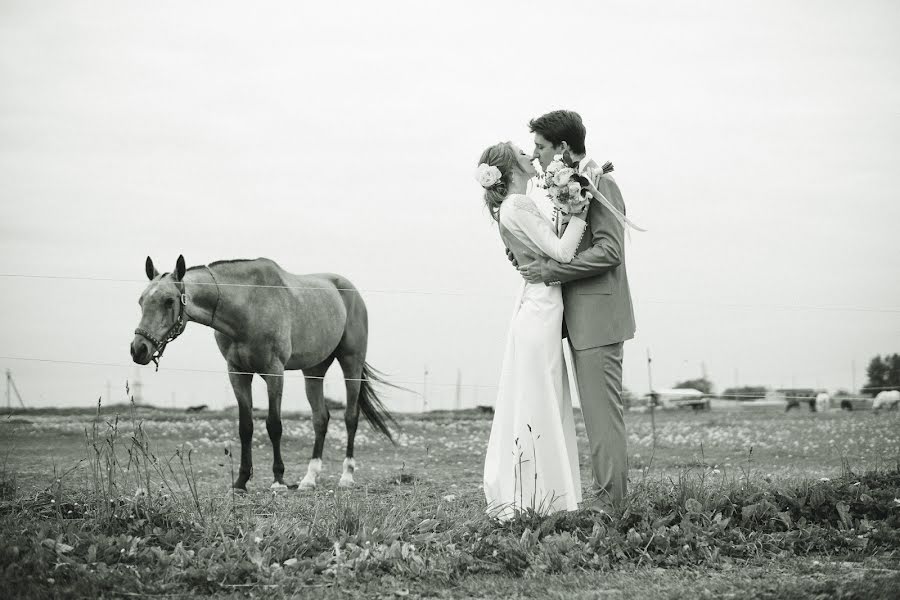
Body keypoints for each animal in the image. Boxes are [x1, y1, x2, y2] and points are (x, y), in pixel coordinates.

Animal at [128, 255, 396, 490]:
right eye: (141, 301)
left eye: (169, 301)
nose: (138, 349)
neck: (249, 306)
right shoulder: (237, 373)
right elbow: (245, 427)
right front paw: (241, 481)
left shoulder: (274, 372)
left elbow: (274, 425)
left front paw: (278, 480)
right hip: (314, 370)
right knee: (320, 419)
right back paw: (309, 480)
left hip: (351, 363)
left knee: (351, 417)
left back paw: (346, 477)